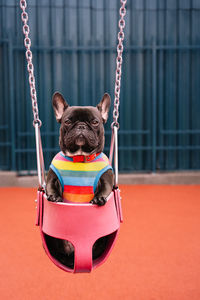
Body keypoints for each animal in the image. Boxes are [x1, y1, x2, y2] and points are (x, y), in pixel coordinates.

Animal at [45, 92, 114, 268]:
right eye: (68, 121)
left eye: (95, 122)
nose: (81, 126)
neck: (80, 157)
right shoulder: (52, 177)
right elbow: (50, 186)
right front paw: (54, 196)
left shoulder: (106, 179)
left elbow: (105, 188)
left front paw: (99, 199)